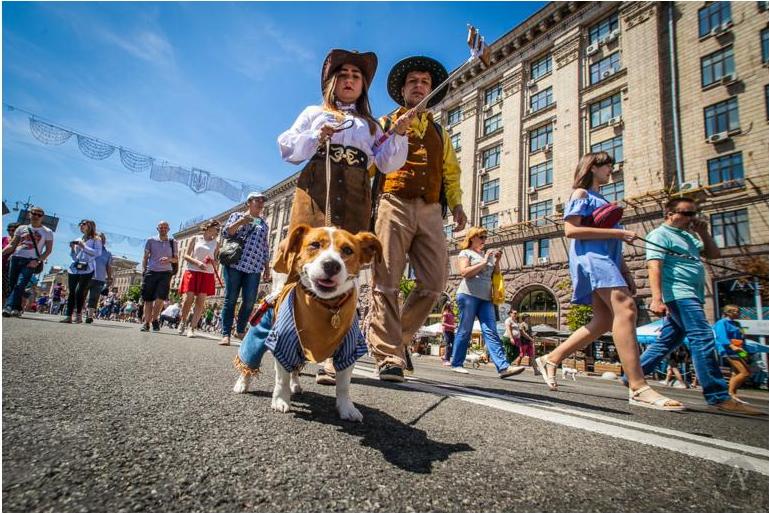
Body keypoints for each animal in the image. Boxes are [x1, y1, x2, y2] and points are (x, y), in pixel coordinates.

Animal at [237, 223, 380, 420]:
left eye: (347, 250)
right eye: (314, 245)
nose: (331, 265)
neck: (327, 306)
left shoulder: (350, 349)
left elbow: (344, 386)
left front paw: (346, 408)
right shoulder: (282, 344)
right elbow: (281, 379)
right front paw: (280, 400)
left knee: (295, 370)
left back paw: (295, 385)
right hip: (258, 335)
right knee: (249, 359)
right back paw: (242, 384)